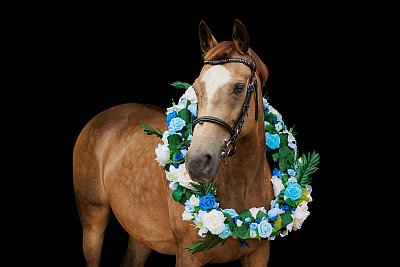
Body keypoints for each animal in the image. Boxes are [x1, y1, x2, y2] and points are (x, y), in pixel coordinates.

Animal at [73, 19, 274, 266]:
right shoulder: (188, 256)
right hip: (93, 219)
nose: (197, 162)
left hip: (141, 233)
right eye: (196, 88)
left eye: (238, 87)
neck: (242, 186)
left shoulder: (259, 254)